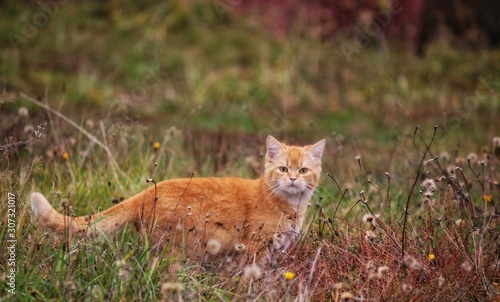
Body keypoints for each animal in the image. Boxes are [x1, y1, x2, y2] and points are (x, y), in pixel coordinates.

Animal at [32, 136, 328, 264]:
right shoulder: (255, 249)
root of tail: (147, 192)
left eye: (303, 170)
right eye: (283, 169)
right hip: (177, 249)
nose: (293, 179)